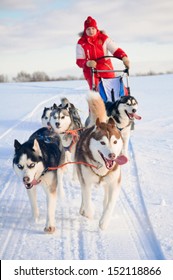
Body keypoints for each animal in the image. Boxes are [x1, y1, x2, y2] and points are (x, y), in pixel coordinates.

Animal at [75, 92, 127, 230]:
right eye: (102, 142)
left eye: (115, 142)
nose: (112, 155)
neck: (102, 167)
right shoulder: (86, 181)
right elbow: (87, 199)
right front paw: (89, 212)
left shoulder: (115, 183)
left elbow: (110, 204)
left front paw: (104, 221)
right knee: (83, 197)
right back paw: (83, 209)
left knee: (105, 199)